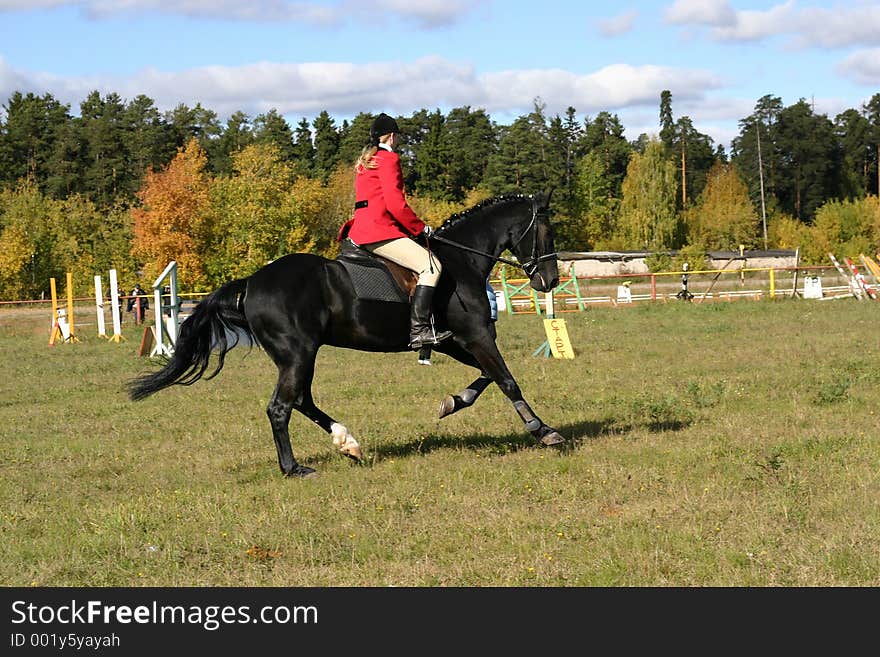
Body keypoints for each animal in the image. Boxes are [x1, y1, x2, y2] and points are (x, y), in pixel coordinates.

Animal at [129, 192, 564, 474]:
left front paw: (452, 402)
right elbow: (506, 379)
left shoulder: (456, 342)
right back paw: (294, 468)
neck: (462, 258)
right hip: (298, 353)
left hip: (300, 355)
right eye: (546, 232)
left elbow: (485, 376)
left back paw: (347, 443)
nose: (550, 280)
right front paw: (543, 431)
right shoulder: (476, 335)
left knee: (301, 400)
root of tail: (252, 282)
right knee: (280, 407)